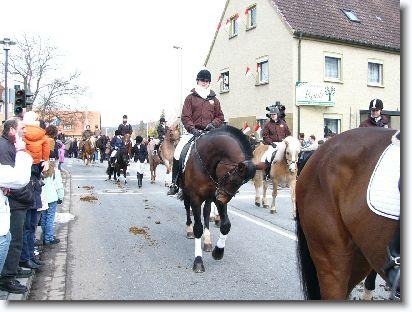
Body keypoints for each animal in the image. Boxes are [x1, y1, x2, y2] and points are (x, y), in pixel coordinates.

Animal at [178, 126, 258, 272]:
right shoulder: (196, 197)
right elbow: (198, 228)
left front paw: (218, 251)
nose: (221, 198)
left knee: (206, 212)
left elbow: (225, 225)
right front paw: (198, 261)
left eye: (243, 183)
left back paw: (207, 241)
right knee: (187, 208)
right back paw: (189, 230)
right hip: (186, 192)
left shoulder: (216, 196)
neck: (207, 161)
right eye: (233, 179)